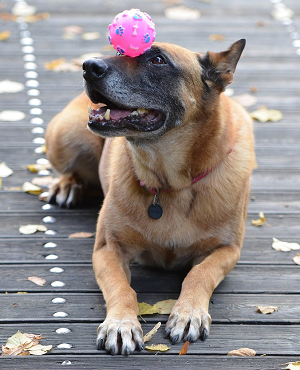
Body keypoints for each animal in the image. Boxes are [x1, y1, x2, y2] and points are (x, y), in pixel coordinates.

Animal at [45, 40, 254, 356]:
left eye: (158, 60)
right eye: (120, 52)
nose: (89, 66)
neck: (171, 183)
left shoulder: (227, 250)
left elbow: (200, 274)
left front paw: (189, 313)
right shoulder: (108, 249)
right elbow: (122, 289)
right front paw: (120, 324)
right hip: (65, 136)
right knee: (72, 169)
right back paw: (67, 185)